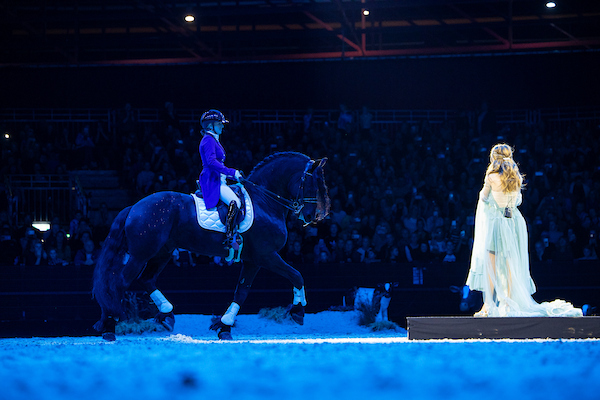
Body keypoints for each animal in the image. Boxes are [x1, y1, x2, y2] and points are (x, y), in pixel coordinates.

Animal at [91, 152, 330, 340]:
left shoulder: (253, 261)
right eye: (312, 184)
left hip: (162, 253)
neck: (264, 201)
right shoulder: (267, 256)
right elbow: (297, 275)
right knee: (120, 282)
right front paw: (298, 311)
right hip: (141, 254)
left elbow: (241, 292)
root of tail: (134, 207)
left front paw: (224, 327)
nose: (312, 217)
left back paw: (166, 315)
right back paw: (110, 325)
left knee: (146, 279)